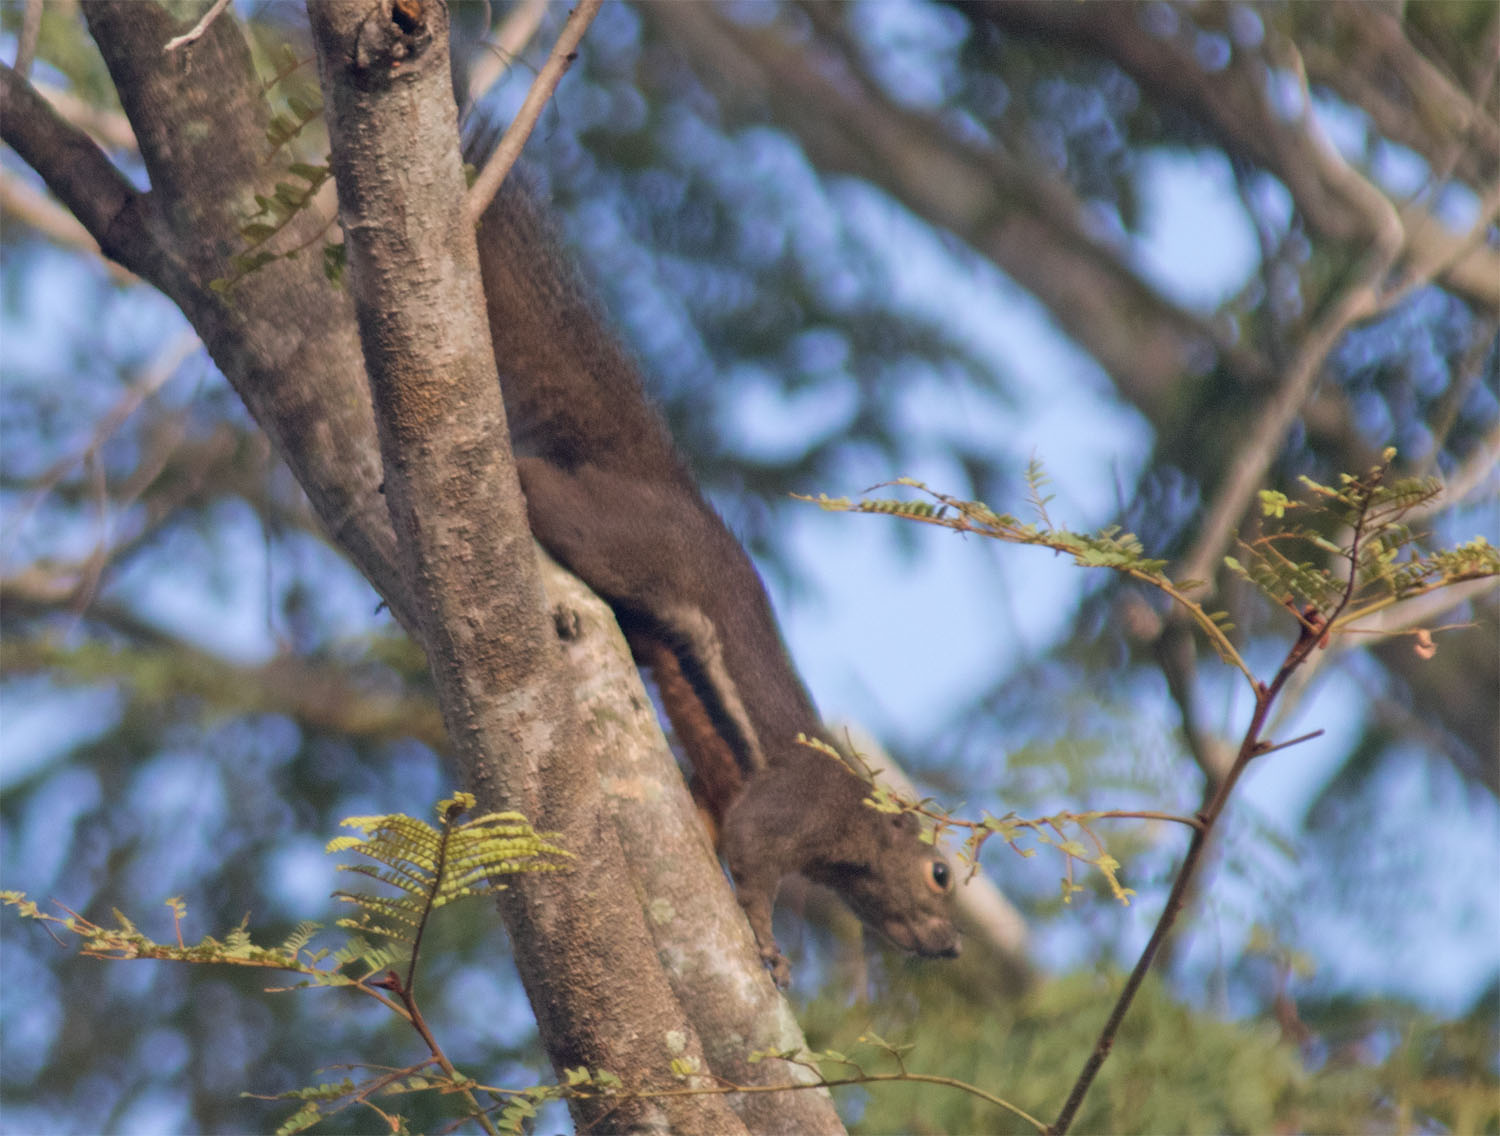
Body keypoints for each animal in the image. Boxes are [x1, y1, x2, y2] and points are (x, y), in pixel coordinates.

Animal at [474, 174, 959, 987]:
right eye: (941, 874)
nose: (952, 946)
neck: (851, 821)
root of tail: (669, 489)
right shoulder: (796, 802)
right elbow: (753, 854)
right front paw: (767, 944)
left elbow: (714, 814)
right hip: (620, 540)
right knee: (546, 488)